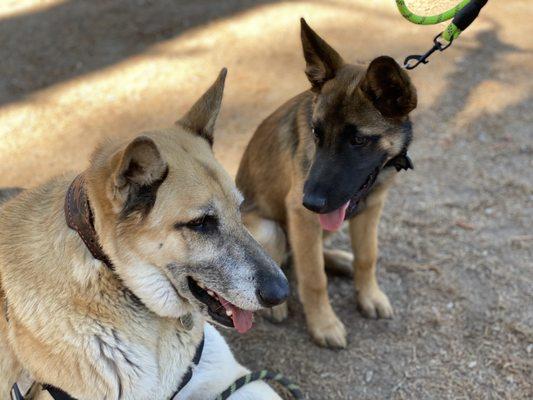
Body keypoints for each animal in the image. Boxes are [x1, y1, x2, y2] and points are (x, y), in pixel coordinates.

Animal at [236, 20, 416, 348]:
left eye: (358, 140)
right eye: (316, 133)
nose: (311, 202)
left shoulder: (371, 208)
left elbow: (367, 256)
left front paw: (369, 295)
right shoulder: (302, 216)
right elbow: (313, 278)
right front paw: (324, 324)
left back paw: (340, 260)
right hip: (270, 228)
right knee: (283, 265)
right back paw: (275, 305)